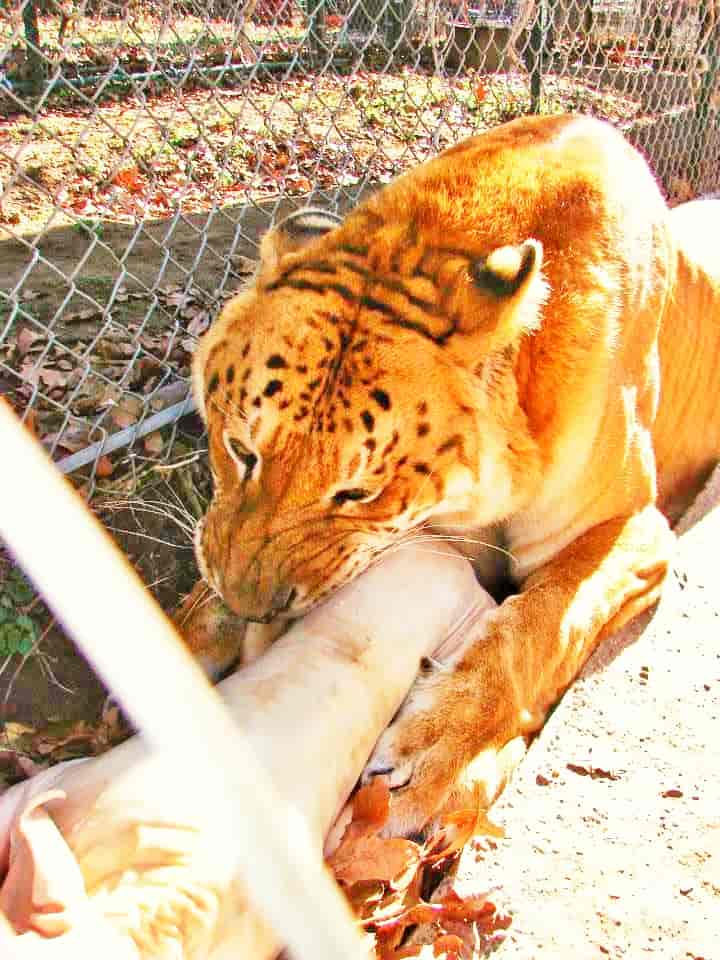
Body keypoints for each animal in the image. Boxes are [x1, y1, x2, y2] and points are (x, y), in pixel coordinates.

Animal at [191, 110, 720, 832]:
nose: (250, 605)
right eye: (242, 450)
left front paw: (430, 757)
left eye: (359, 493)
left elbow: (545, 621)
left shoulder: (637, 526)